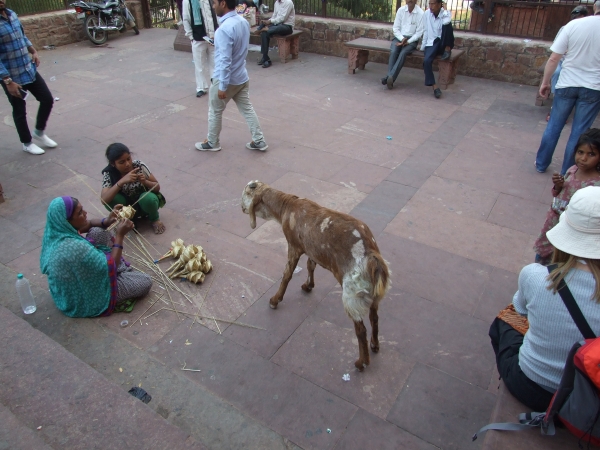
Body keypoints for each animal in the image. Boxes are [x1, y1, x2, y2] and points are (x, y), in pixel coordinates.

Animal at [241, 180, 392, 372]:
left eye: (247, 193)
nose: (241, 208)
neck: (286, 206)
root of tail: (372, 256)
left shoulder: (294, 245)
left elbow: (287, 274)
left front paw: (275, 300)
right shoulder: (310, 248)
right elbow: (310, 265)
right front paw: (308, 286)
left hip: (352, 293)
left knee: (360, 329)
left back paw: (361, 362)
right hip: (370, 293)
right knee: (374, 317)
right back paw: (375, 345)